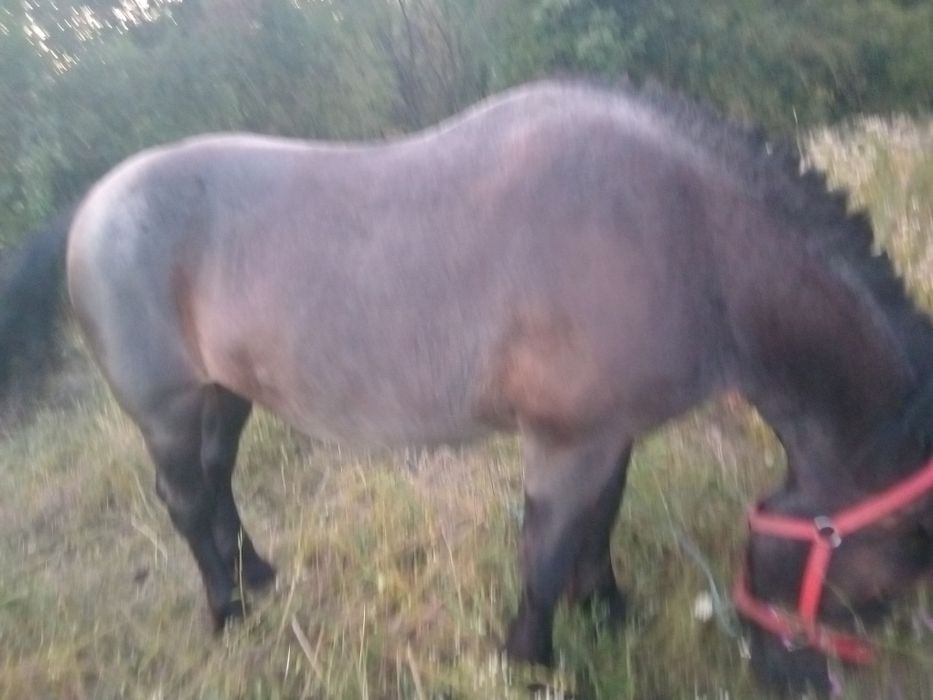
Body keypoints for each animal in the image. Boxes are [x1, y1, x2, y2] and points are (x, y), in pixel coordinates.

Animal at [2, 80, 932, 695]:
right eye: (883, 590)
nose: (792, 679)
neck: (685, 233)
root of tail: (94, 204)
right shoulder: (564, 440)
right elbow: (546, 551)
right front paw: (532, 660)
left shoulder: (608, 432)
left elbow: (597, 527)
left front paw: (608, 614)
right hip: (168, 409)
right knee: (189, 503)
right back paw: (230, 615)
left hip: (224, 397)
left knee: (218, 487)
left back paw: (257, 580)